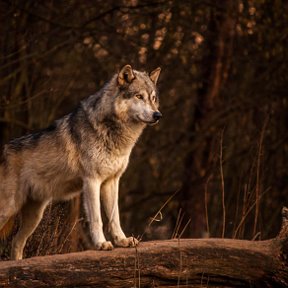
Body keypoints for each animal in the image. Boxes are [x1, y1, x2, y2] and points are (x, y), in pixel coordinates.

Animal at [0, 65, 162, 260]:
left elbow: (114, 217)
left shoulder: (111, 182)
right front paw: (101, 244)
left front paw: (122, 240)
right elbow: (97, 219)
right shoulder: (92, 181)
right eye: (139, 96)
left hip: (35, 215)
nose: (158, 115)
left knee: (16, 243)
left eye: (153, 98)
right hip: (9, 208)